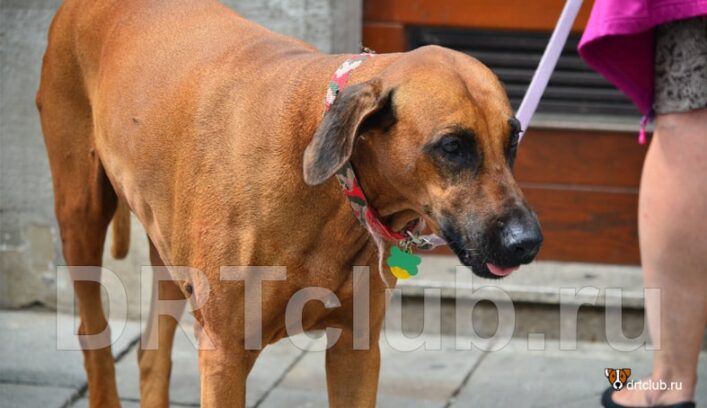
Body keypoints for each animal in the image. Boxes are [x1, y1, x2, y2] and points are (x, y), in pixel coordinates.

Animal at [37, 0, 544, 404]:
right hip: (80, 211)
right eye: (452, 146)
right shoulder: (224, 356)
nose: (528, 242)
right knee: (92, 336)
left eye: (513, 140)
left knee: (151, 355)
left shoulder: (356, 349)